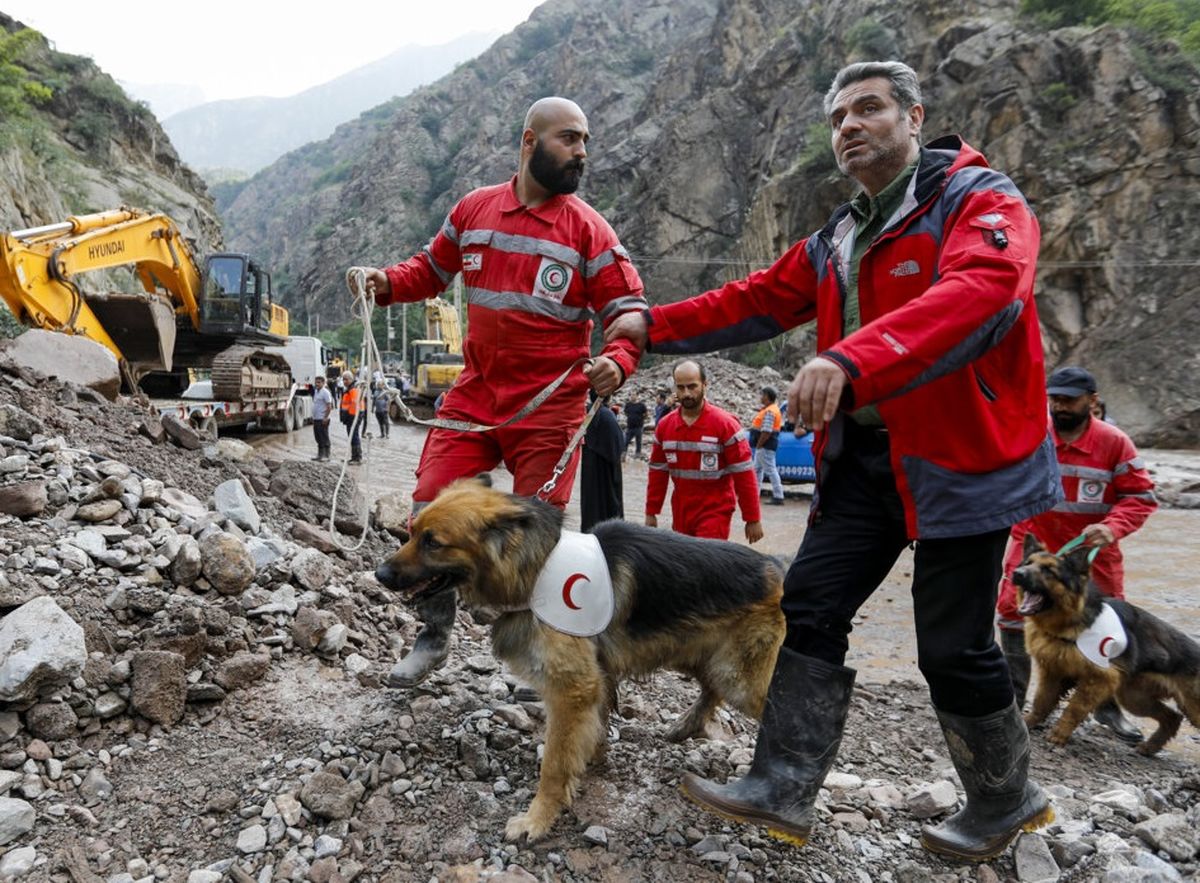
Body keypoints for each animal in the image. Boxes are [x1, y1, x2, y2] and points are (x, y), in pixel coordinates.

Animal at [376, 479, 787, 844]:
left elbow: (554, 763)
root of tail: (778, 566)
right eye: (412, 533)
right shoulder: (596, 679)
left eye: (433, 542)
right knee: (711, 687)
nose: (379, 573)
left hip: (739, 676)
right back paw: (687, 725)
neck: (535, 567)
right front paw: (591, 756)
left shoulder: (573, 689)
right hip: (700, 652)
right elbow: (592, 728)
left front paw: (538, 818)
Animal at [1012, 535, 1200, 753]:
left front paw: (1058, 735)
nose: (1017, 573)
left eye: (1048, 570)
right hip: (1134, 697)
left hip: (1185, 706)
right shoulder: (1053, 672)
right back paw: (1150, 747)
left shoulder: (1099, 678)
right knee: (1173, 717)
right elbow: (1041, 702)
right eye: (1028, 563)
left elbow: (1074, 708)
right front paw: (1027, 724)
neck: (1070, 622)